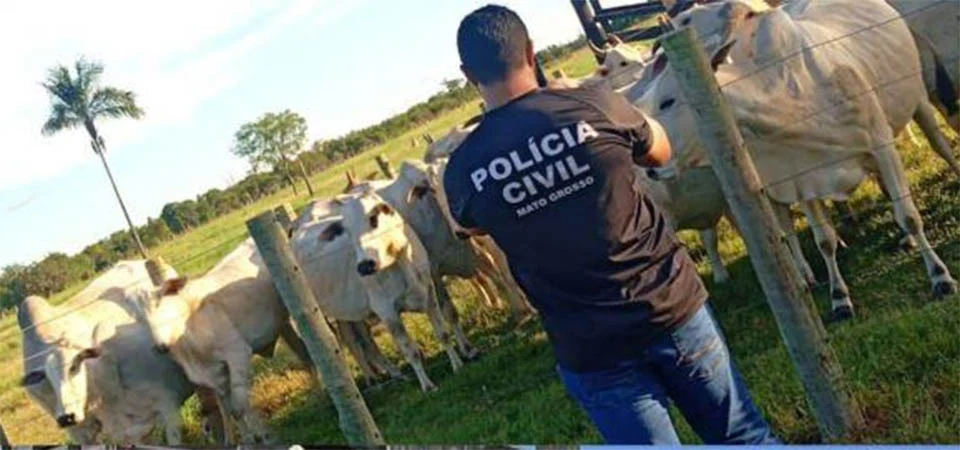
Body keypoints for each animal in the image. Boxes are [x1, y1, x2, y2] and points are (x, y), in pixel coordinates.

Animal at [127, 240, 313, 444]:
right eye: (138, 316)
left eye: (160, 302)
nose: (160, 347)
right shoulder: (215, 375)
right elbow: (230, 410)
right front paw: (246, 440)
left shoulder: (238, 353)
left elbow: (239, 408)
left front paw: (266, 438)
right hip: (282, 322)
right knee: (301, 349)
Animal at [636, 0, 957, 319]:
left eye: (667, 101)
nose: (648, 168)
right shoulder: (802, 177)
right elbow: (824, 239)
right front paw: (839, 298)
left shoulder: (882, 147)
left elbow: (909, 217)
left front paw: (940, 277)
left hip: (919, 100)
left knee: (939, 144)